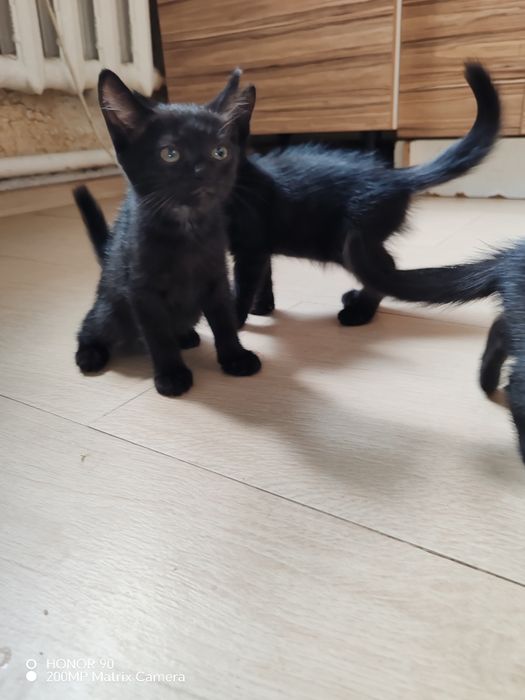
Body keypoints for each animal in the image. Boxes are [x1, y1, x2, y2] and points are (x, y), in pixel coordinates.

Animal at [74, 69, 261, 397]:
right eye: (170, 154)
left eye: (220, 152)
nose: (203, 172)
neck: (187, 229)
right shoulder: (141, 290)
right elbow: (158, 333)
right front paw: (172, 374)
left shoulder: (216, 276)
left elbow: (224, 318)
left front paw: (235, 357)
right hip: (110, 311)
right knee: (91, 326)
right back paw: (89, 354)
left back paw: (186, 336)